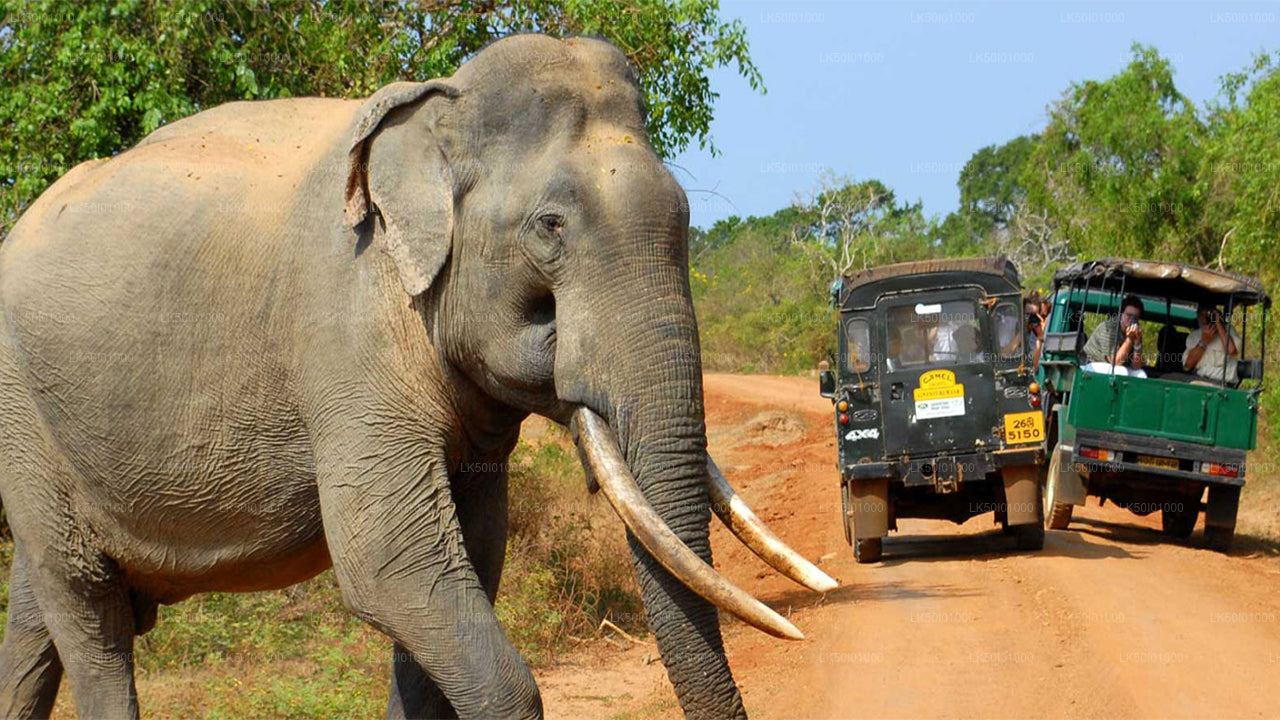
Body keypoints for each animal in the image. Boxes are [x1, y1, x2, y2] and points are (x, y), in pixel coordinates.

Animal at [0, 33, 834, 717]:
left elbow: (471, 555)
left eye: (687, 218)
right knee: (89, 611)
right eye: (550, 227)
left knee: (40, 611)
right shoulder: (344, 335)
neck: (438, 112)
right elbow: (391, 566)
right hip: (23, 411)